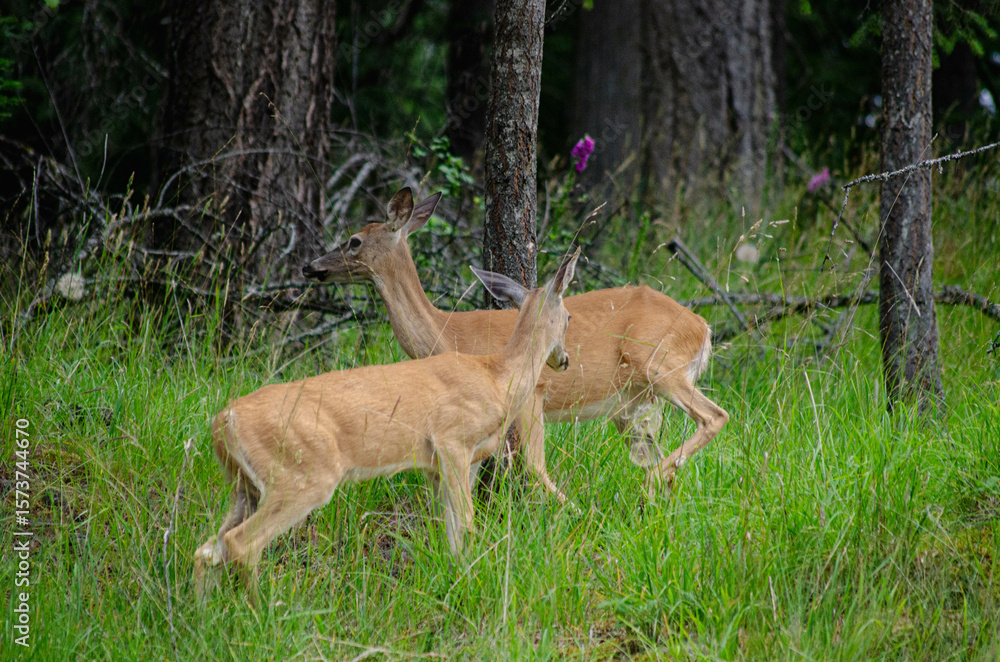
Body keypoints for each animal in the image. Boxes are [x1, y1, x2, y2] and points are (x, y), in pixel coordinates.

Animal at [193, 249, 580, 599]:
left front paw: (455, 577)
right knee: (241, 543)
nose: (564, 360)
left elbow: (450, 531)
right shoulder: (452, 440)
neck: (498, 378)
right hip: (301, 475)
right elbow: (467, 523)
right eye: (568, 316)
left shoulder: (443, 465)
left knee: (208, 549)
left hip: (244, 484)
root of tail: (223, 421)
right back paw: (263, 610)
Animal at [302, 188, 729, 502]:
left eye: (354, 240)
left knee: (714, 416)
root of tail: (703, 327)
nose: (310, 266)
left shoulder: (531, 392)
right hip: (631, 406)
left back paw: (650, 483)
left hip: (662, 366)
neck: (448, 334)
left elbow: (532, 465)